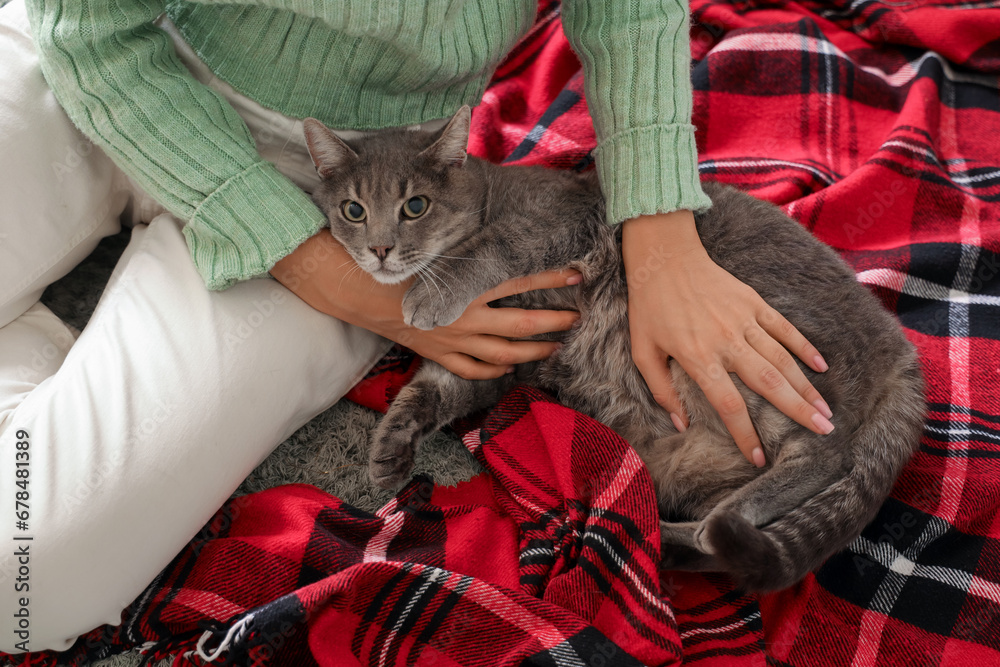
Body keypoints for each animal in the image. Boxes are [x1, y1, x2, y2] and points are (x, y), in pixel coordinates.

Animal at [300, 107, 924, 592]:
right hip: (687, 458)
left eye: (416, 206)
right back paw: (648, 543)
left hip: (735, 357)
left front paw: (431, 296)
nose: (380, 249)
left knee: (824, 453)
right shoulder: (494, 357)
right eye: (353, 211)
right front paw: (389, 449)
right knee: (717, 532)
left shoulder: (553, 222)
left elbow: (490, 247)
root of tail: (901, 348)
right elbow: (430, 389)